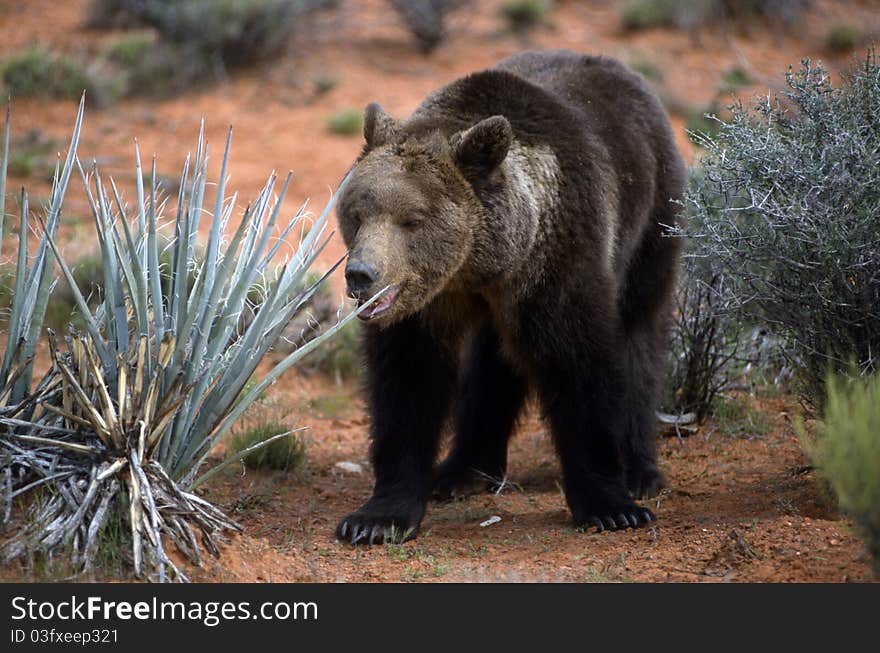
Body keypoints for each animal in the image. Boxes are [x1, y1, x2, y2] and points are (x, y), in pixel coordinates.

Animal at [334, 49, 684, 544]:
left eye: (411, 220)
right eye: (357, 212)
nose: (361, 274)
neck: (479, 267)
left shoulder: (557, 267)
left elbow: (581, 368)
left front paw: (612, 506)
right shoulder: (426, 308)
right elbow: (408, 385)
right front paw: (377, 518)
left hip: (651, 220)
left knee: (639, 335)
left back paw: (640, 470)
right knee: (492, 363)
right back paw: (464, 471)